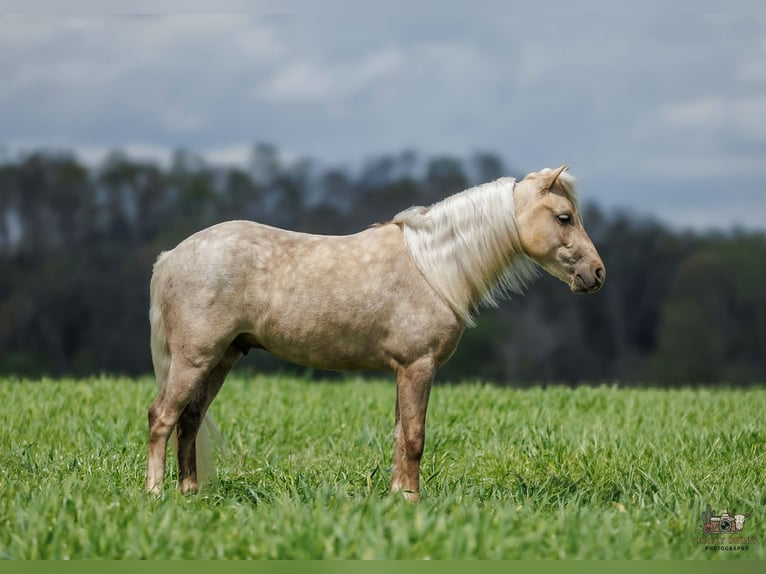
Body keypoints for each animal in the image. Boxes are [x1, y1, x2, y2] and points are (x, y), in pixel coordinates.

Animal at [146, 165, 605, 500]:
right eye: (564, 217)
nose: (596, 273)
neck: (433, 268)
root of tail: (172, 256)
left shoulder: (404, 371)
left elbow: (400, 436)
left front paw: (396, 496)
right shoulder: (418, 367)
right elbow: (415, 438)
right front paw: (412, 500)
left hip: (221, 358)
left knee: (189, 420)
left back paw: (190, 494)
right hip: (195, 358)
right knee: (162, 417)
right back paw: (155, 495)